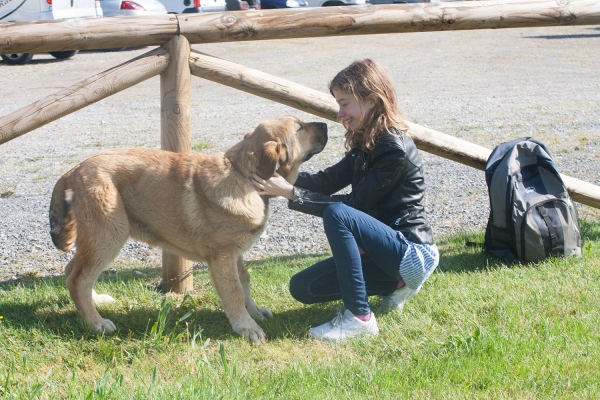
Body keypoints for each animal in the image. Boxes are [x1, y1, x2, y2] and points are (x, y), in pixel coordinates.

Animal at [49, 115, 328, 344]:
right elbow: (234, 291)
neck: (242, 175)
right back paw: (96, 323)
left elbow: (245, 282)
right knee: (79, 278)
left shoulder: (235, 253)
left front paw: (255, 312)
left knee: (74, 272)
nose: (326, 124)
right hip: (109, 235)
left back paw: (96, 302)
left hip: (99, 239)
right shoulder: (223, 256)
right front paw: (246, 327)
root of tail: (74, 169)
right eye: (300, 128)